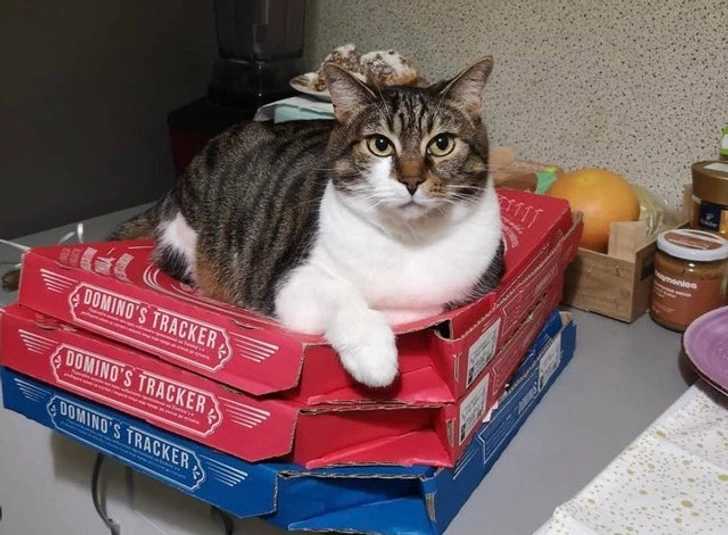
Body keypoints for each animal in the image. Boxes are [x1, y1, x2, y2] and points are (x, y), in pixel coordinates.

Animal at [110, 57, 503, 388]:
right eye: (380, 144)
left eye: (442, 144)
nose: (411, 181)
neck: (409, 239)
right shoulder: (289, 284)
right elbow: (343, 297)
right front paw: (375, 357)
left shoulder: (481, 281)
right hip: (188, 243)